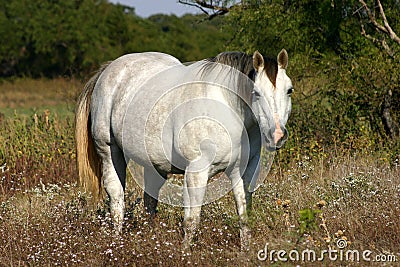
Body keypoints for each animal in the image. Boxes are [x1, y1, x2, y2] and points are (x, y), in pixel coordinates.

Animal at [76, 49, 294, 250]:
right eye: (256, 92)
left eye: (289, 90)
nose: (277, 135)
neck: (228, 107)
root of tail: (108, 70)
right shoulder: (196, 172)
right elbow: (192, 219)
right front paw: (186, 253)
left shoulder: (244, 171)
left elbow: (244, 214)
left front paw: (245, 252)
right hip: (109, 152)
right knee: (116, 199)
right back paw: (116, 241)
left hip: (154, 164)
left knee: (150, 200)